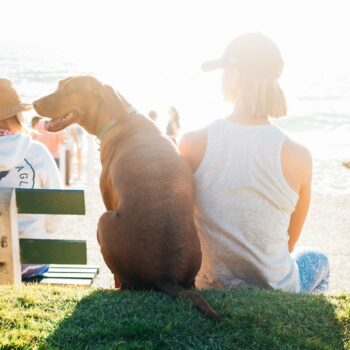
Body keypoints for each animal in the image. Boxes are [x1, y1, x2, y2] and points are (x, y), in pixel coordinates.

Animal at [32, 76, 219, 320]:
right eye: (59, 85)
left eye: (71, 90)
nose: (34, 103)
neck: (118, 118)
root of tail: (165, 274)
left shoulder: (108, 199)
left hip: (103, 221)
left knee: (124, 282)